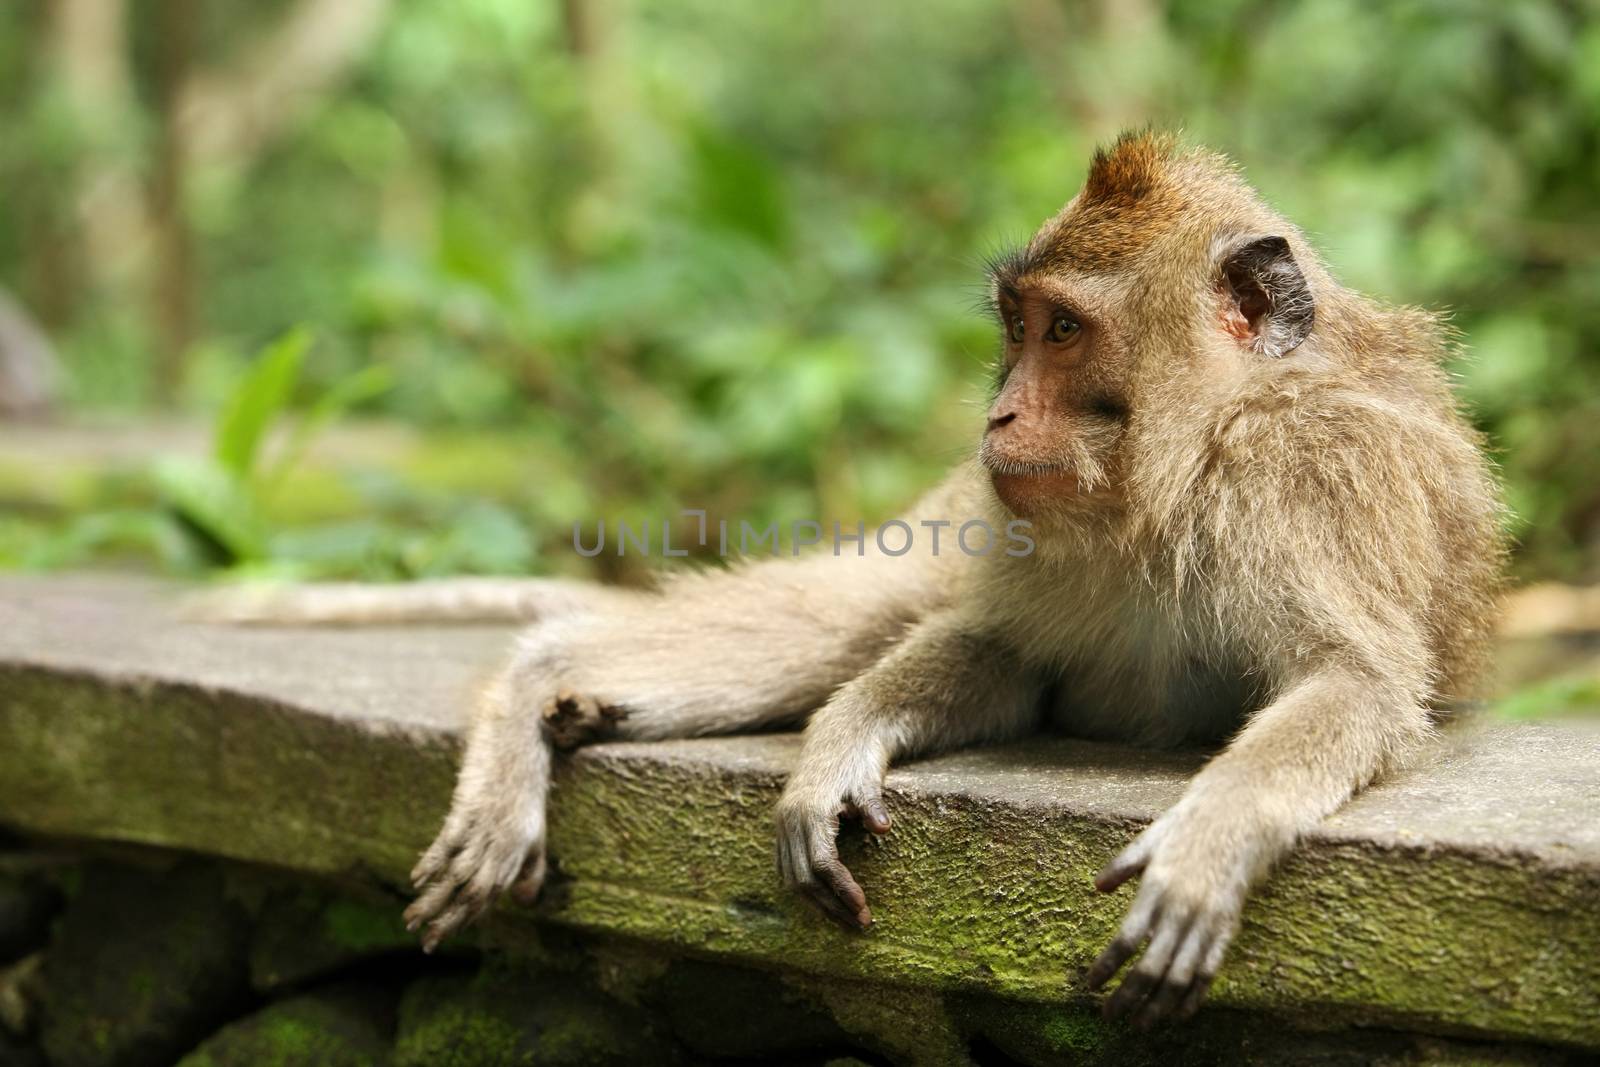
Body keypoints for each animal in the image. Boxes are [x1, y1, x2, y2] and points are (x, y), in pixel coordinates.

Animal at [209, 133, 1497, 1023]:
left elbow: (1354, 684)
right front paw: (837, 749)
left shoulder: (1319, 476)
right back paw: (537, 686)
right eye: (1015, 325)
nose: (997, 414)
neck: (1182, 468)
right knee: (843, 621)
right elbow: (995, 653)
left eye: (1063, 331)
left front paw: (1210, 842)